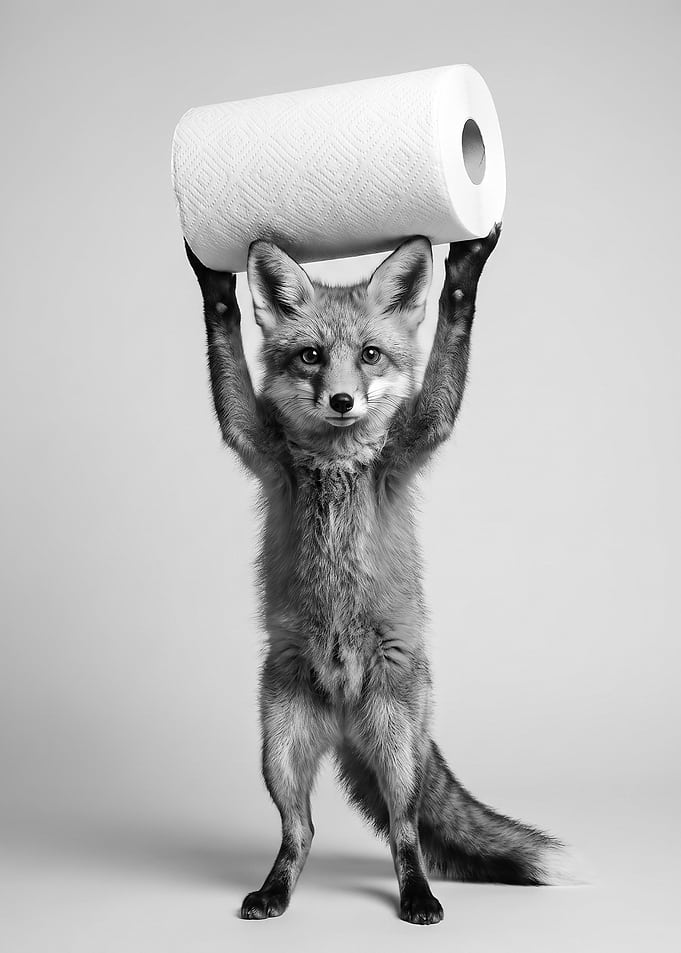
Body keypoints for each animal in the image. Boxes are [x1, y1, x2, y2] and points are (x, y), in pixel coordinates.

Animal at [185, 223, 573, 925]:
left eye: (370, 355)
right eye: (311, 357)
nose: (342, 401)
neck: (337, 462)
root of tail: (343, 718)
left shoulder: (410, 446)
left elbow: (448, 352)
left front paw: (467, 264)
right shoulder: (261, 449)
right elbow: (227, 352)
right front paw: (213, 279)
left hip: (397, 748)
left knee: (404, 830)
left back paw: (417, 896)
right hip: (278, 747)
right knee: (300, 831)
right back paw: (275, 890)